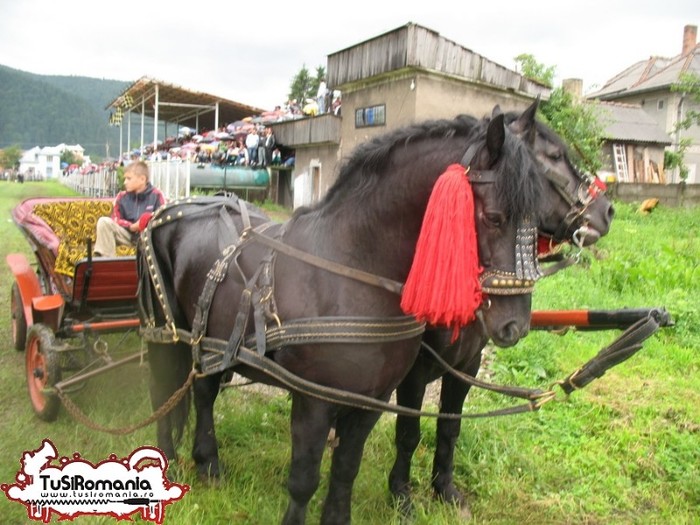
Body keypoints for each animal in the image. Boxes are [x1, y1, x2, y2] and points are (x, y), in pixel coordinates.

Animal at [142, 112, 544, 520]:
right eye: (494, 218)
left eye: (537, 221)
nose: (515, 325)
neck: (350, 265)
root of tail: (171, 210)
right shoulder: (314, 400)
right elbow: (304, 479)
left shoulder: (372, 401)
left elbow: (347, 468)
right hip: (166, 335)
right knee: (163, 393)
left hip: (211, 340)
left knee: (205, 391)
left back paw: (208, 462)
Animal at [388, 101, 612, 516]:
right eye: (553, 155)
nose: (607, 211)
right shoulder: (413, 371)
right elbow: (408, 431)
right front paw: (400, 494)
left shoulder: (466, 365)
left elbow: (450, 426)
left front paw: (444, 488)